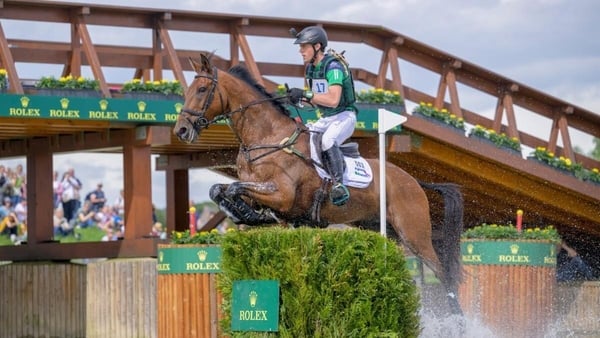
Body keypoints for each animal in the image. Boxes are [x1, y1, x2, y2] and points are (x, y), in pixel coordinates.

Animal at [173, 52, 464, 314]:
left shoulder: (281, 195)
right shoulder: (257, 192)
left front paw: (253, 216)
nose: (181, 130)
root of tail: (414, 181)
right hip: (381, 228)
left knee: (445, 276)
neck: (266, 139)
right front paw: (249, 215)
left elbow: (234, 188)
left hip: (414, 234)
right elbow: (219, 190)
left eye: (201, 89)